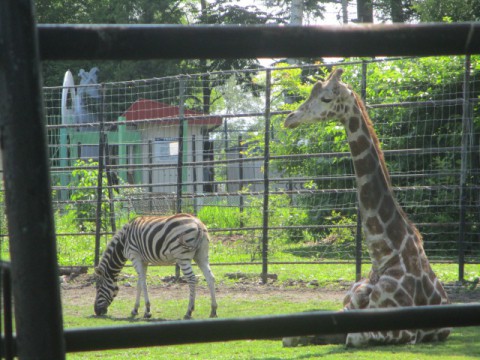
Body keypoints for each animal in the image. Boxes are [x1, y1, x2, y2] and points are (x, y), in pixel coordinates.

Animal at [282, 69, 450, 348]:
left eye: (326, 98)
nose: (290, 118)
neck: (383, 255)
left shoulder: (405, 331)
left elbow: (353, 337)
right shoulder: (348, 308)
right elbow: (291, 337)